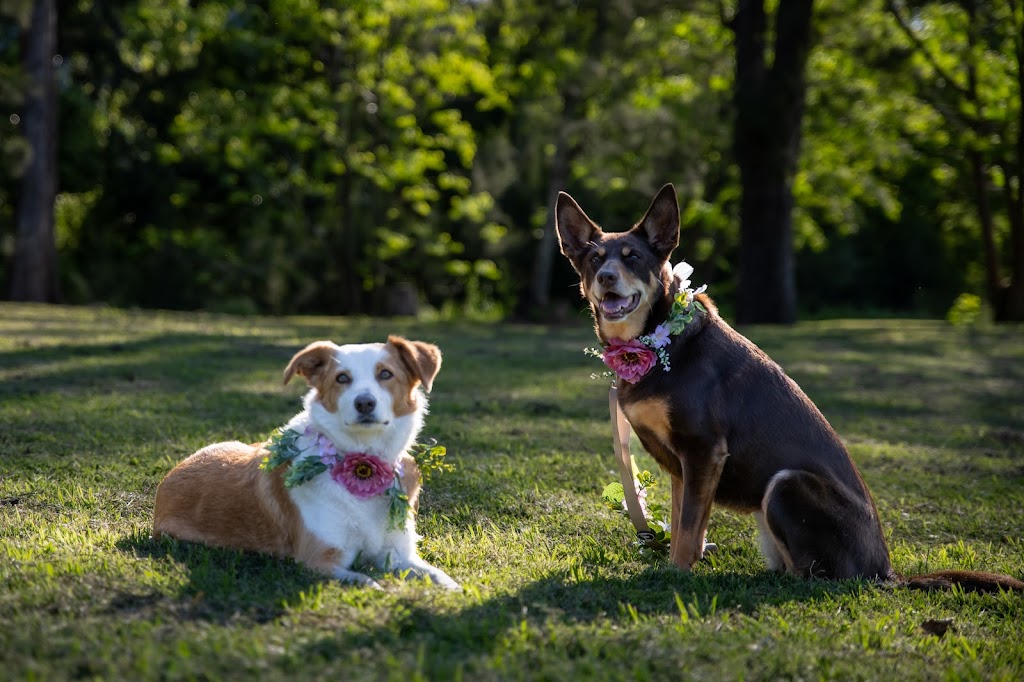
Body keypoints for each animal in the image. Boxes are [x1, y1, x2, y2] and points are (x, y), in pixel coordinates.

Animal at [151, 335, 460, 589]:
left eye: (386, 374)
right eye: (342, 378)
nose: (364, 403)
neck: (363, 464)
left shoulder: (399, 554)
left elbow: (441, 577)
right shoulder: (319, 560)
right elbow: (367, 581)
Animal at [557, 184, 1024, 589]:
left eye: (633, 257)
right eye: (595, 260)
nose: (607, 278)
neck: (657, 340)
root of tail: (884, 572)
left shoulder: (704, 450)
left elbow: (689, 527)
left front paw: (676, 574)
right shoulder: (682, 468)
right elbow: (684, 522)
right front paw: (679, 564)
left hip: (785, 483)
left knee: (811, 578)